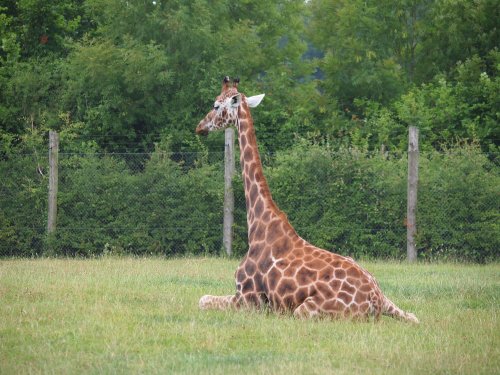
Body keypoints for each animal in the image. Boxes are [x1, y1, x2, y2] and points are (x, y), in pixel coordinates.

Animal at [195, 76, 418, 324]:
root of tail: (375, 301)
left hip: (304, 311)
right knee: (413, 316)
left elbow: (202, 299)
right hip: (385, 297)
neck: (258, 225)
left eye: (216, 105)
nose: (200, 127)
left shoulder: (247, 299)